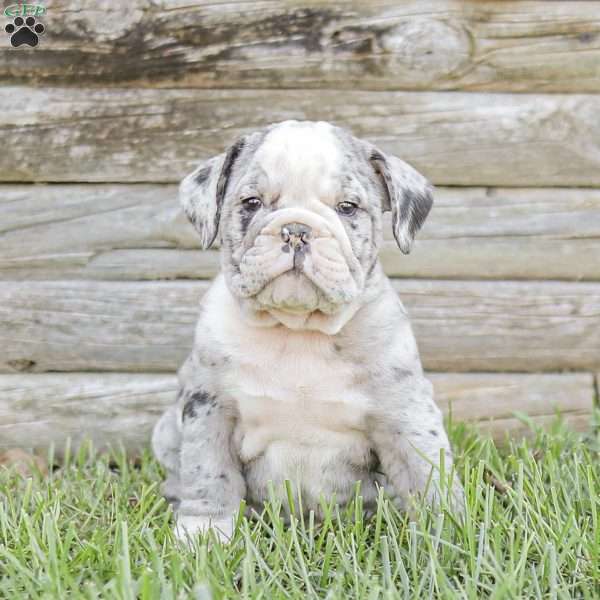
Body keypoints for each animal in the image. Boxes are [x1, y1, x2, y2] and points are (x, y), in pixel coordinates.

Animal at [151, 119, 464, 540]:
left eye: (347, 207)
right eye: (252, 203)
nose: (296, 230)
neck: (297, 328)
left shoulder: (406, 414)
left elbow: (426, 474)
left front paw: (448, 536)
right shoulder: (210, 407)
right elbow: (209, 474)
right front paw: (204, 534)